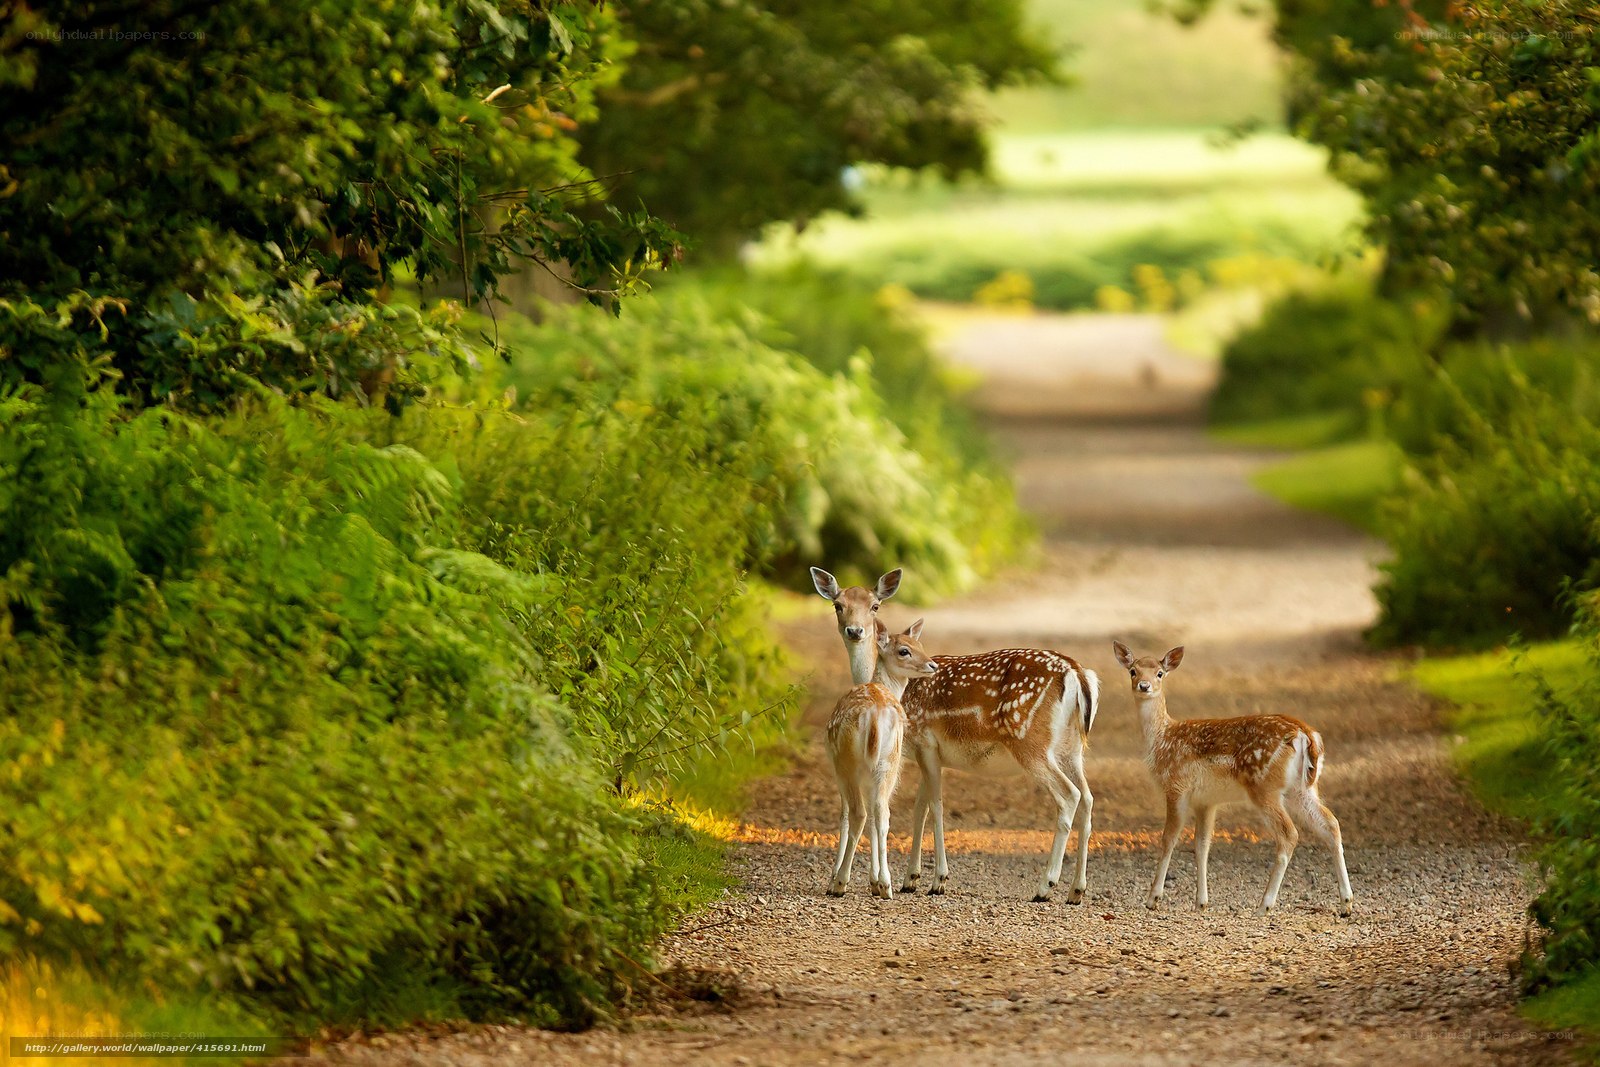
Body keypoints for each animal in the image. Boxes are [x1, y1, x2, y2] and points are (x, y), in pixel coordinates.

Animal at [825, 619, 938, 898]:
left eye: (920, 645)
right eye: (905, 650)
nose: (933, 665)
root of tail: (875, 716)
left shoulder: (840, 767)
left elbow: (844, 816)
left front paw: (838, 879)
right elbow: (877, 817)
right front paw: (875, 881)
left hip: (848, 762)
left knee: (859, 813)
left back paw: (840, 882)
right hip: (889, 761)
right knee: (882, 813)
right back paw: (886, 884)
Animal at [1111, 642, 1353, 917]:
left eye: (1160, 673)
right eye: (1133, 671)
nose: (1144, 686)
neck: (1161, 740)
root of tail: (1306, 735)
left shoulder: (1176, 786)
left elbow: (1168, 839)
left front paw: (1153, 898)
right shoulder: (1206, 801)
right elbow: (1202, 845)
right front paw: (1201, 902)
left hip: (1263, 786)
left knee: (1289, 834)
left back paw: (1264, 905)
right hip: (1303, 788)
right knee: (1331, 824)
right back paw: (1346, 903)